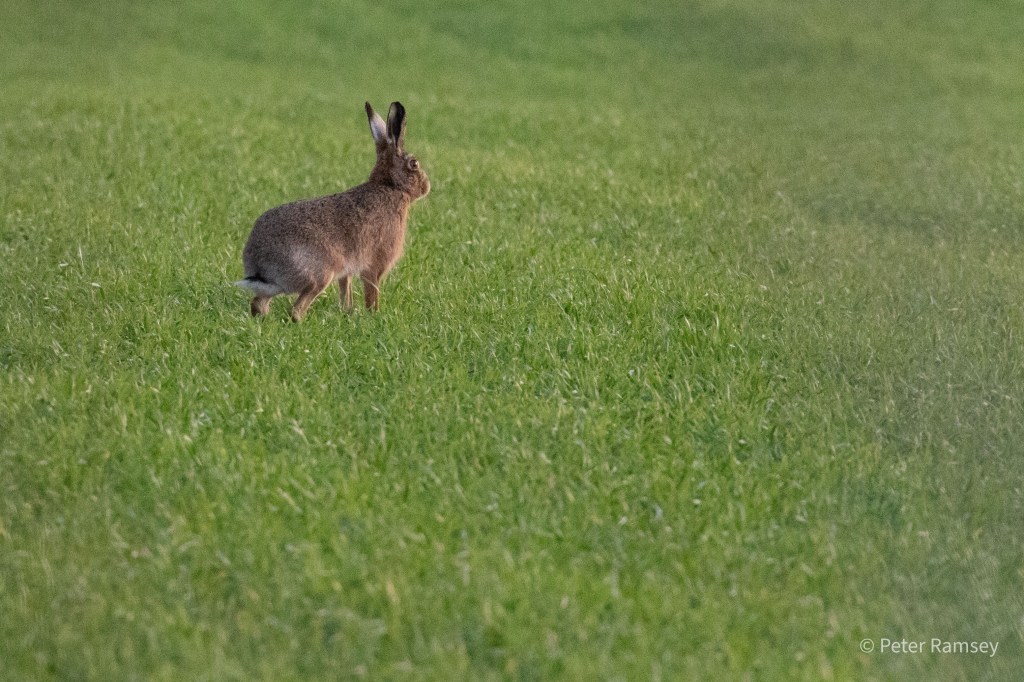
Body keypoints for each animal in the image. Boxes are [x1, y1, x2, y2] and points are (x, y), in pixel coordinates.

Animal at [235, 101, 430, 321]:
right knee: (296, 309)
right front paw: (374, 315)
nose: (427, 186)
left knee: (258, 303)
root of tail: (260, 266)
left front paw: (349, 312)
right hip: (321, 275)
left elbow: (346, 290)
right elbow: (372, 292)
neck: (390, 187)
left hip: (281, 286)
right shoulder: (375, 266)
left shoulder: (346, 272)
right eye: (414, 164)